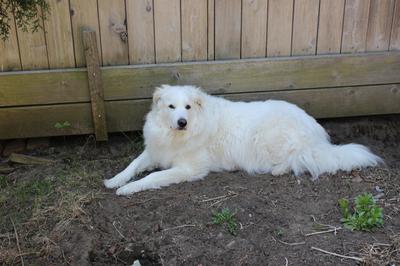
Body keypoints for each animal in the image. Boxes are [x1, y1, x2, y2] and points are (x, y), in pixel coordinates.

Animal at [104, 85, 382, 195]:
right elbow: (132, 166)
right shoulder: (154, 151)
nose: (182, 121)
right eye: (171, 107)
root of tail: (315, 130)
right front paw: (114, 181)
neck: (177, 135)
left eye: (187, 107)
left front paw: (127, 189)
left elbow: (151, 177)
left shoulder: (188, 169)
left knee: (296, 159)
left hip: (268, 138)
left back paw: (277, 170)